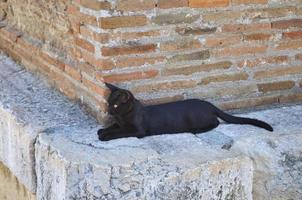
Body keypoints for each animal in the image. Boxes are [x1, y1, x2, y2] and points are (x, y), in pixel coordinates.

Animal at [98, 83, 272, 141]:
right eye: (108, 103)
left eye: (115, 105)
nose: (109, 110)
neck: (123, 116)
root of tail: (210, 105)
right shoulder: (119, 122)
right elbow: (115, 127)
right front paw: (103, 130)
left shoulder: (137, 130)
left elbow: (121, 132)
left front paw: (105, 136)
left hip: (199, 118)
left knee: (215, 122)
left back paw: (197, 130)